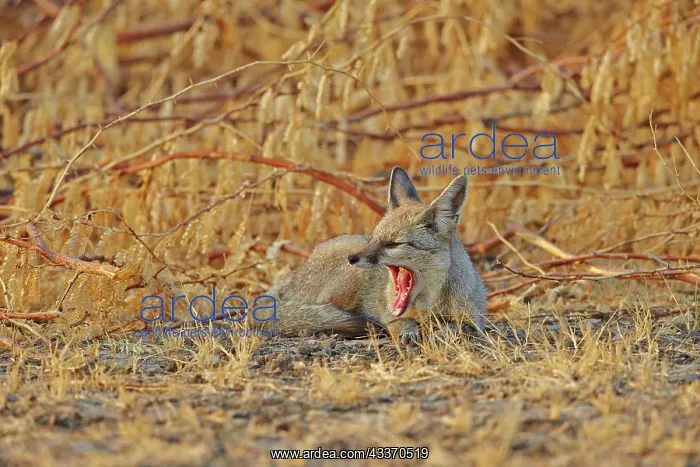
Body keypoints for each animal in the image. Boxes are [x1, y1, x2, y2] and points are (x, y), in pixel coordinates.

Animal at [264, 167, 488, 345]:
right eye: (374, 238)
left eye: (393, 244)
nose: (352, 258)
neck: (430, 306)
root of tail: (294, 275)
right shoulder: (388, 313)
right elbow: (399, 322)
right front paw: (408, 332)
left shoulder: (475, 322)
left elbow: (459, 329)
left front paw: (440, 335)